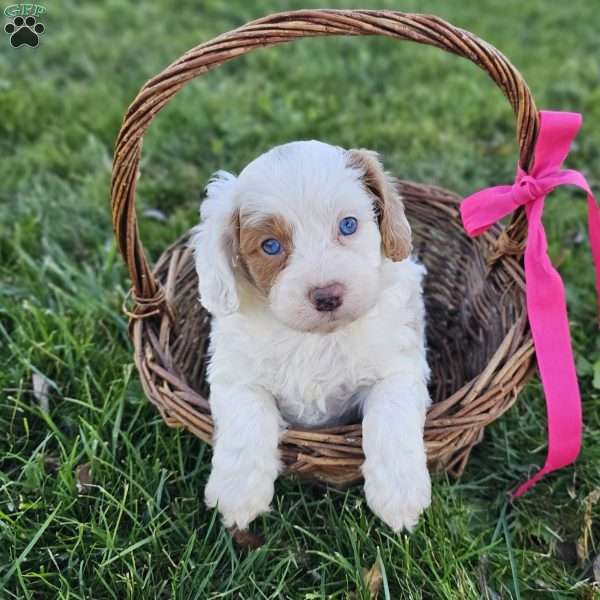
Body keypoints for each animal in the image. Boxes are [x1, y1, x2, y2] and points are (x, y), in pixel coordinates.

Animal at [192, 142, 432, 536]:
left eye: (348, 225)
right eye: (271, 246)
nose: (327, 295)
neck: (316, 339)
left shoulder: (398, 367)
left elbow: (390, 416)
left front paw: (400, 493)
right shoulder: (234, 375)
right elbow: (246, 421)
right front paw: (238, 494)